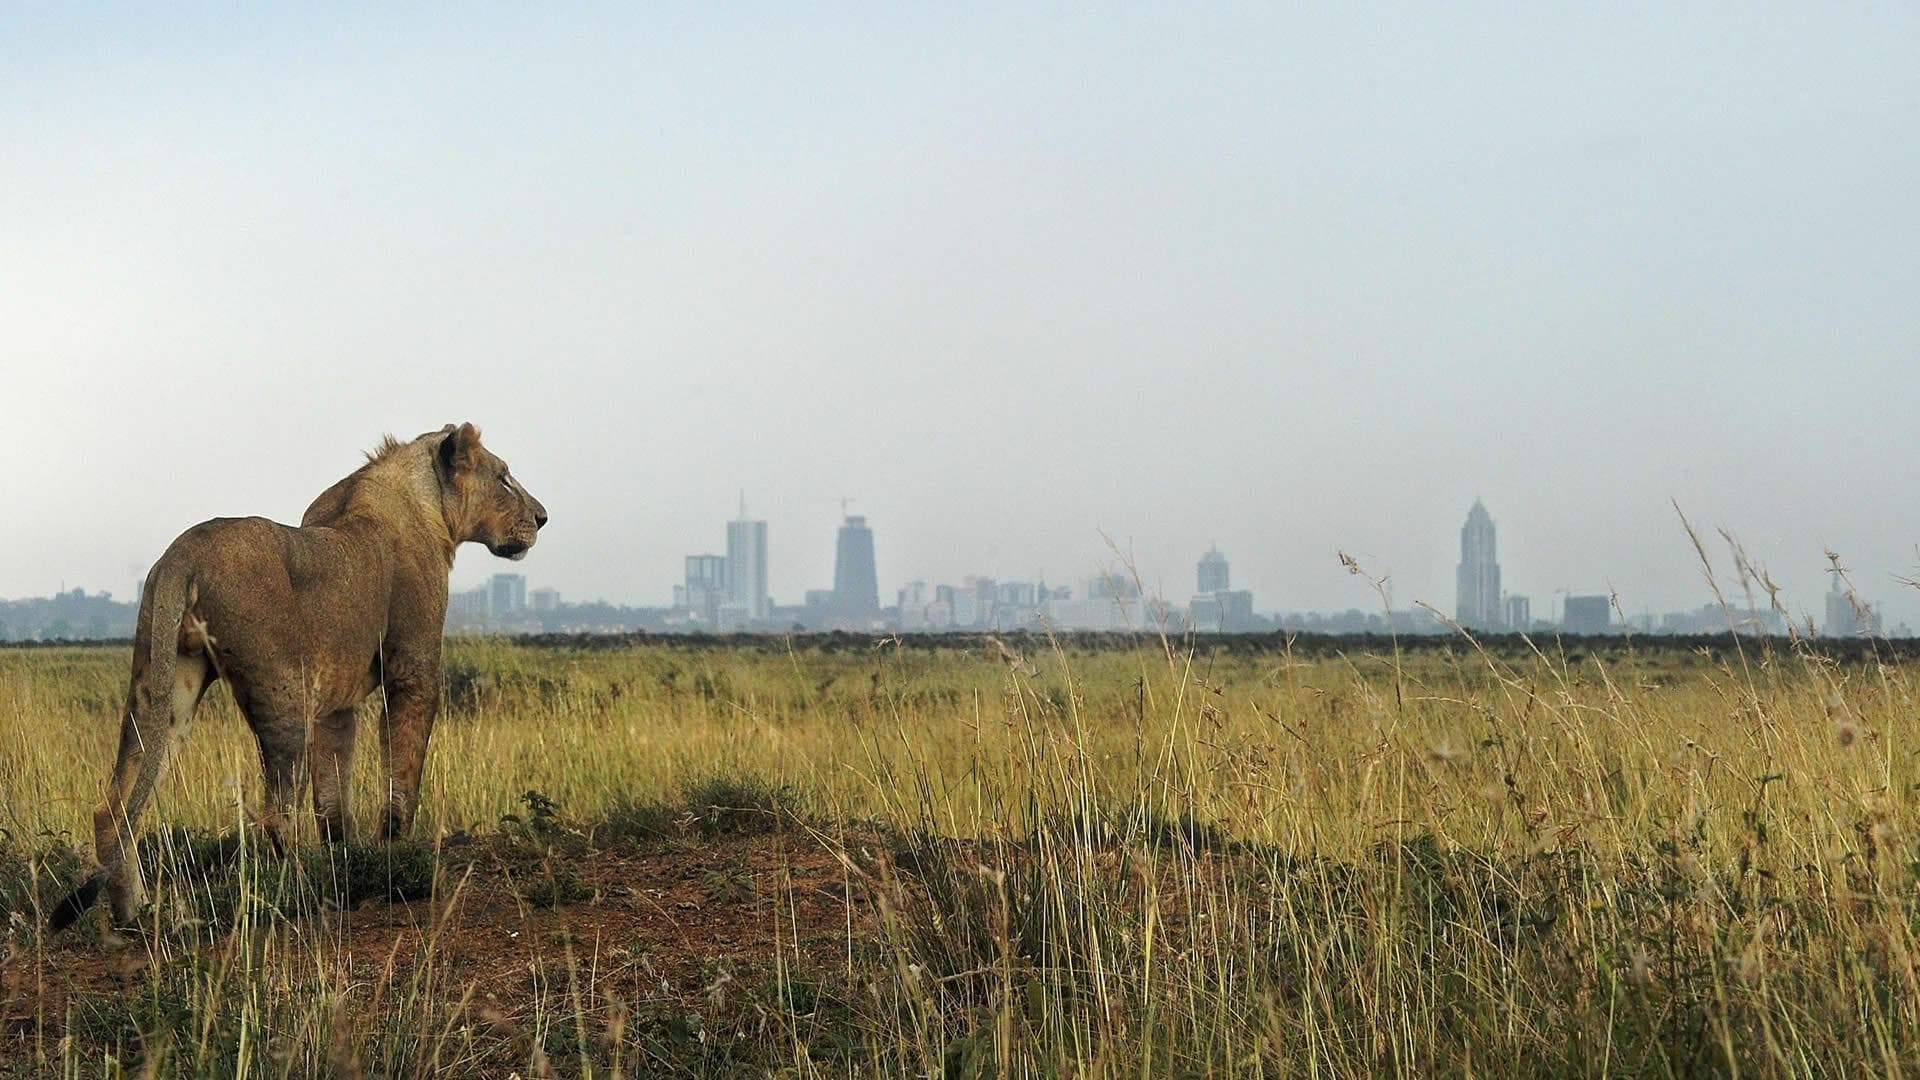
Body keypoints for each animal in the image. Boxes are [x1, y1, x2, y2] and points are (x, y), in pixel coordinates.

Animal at [50, 423, 547, 930]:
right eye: (503, 477)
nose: (542, 517)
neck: (423, 501)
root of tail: (181, 552)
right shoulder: (412, 672)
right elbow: (401, 779)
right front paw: (398, 862)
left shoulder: (336, 706)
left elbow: (333, 800)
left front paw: (348, 864)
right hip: (284, 695)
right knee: (274, 813)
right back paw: (308, 899)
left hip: (166, 687)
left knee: (116, 806)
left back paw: (136, 915)